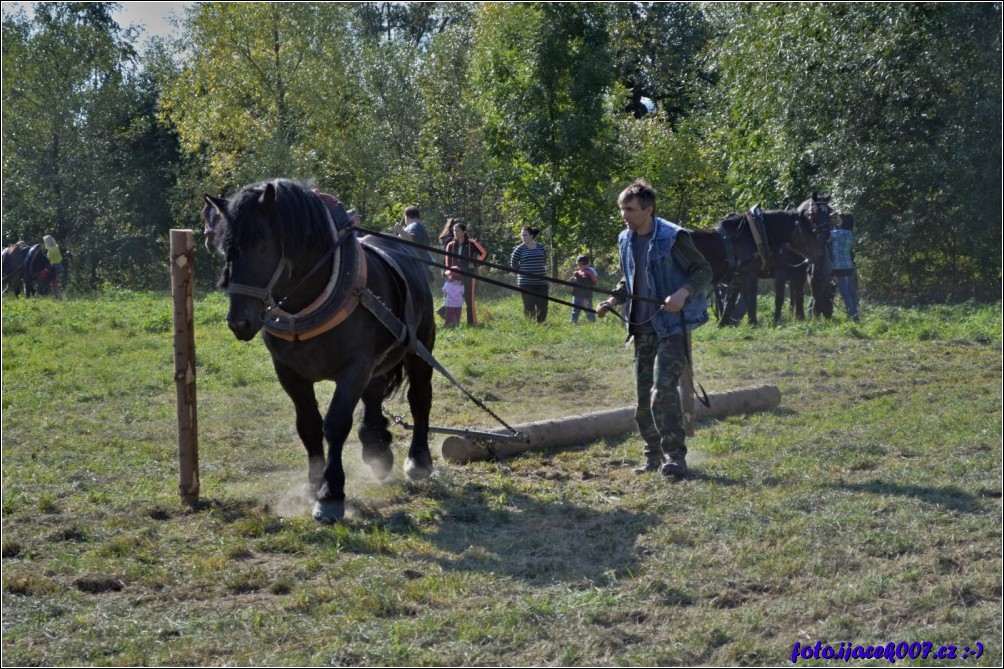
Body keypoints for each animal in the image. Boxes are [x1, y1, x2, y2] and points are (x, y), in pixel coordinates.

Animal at [203, 179, 435, 522]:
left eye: (262, 247)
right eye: (225, 250)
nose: (238, 322)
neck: (308, 301)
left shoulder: (354, 366)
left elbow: (335, 423)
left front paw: (331, 494)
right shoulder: (289, 372)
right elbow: (308, 425)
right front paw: (314, 484)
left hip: (419, 347)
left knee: (419, 399)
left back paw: (418, 460)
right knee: (374, 394)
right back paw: (376, 447)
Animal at [690, 192, 831, 325]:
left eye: (829, 212)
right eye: (813, 214)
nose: (826, 236)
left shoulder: (798, 273)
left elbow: (798, 297)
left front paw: (800, 318)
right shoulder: (770, 274)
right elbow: (762, 298)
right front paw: (768, 321)